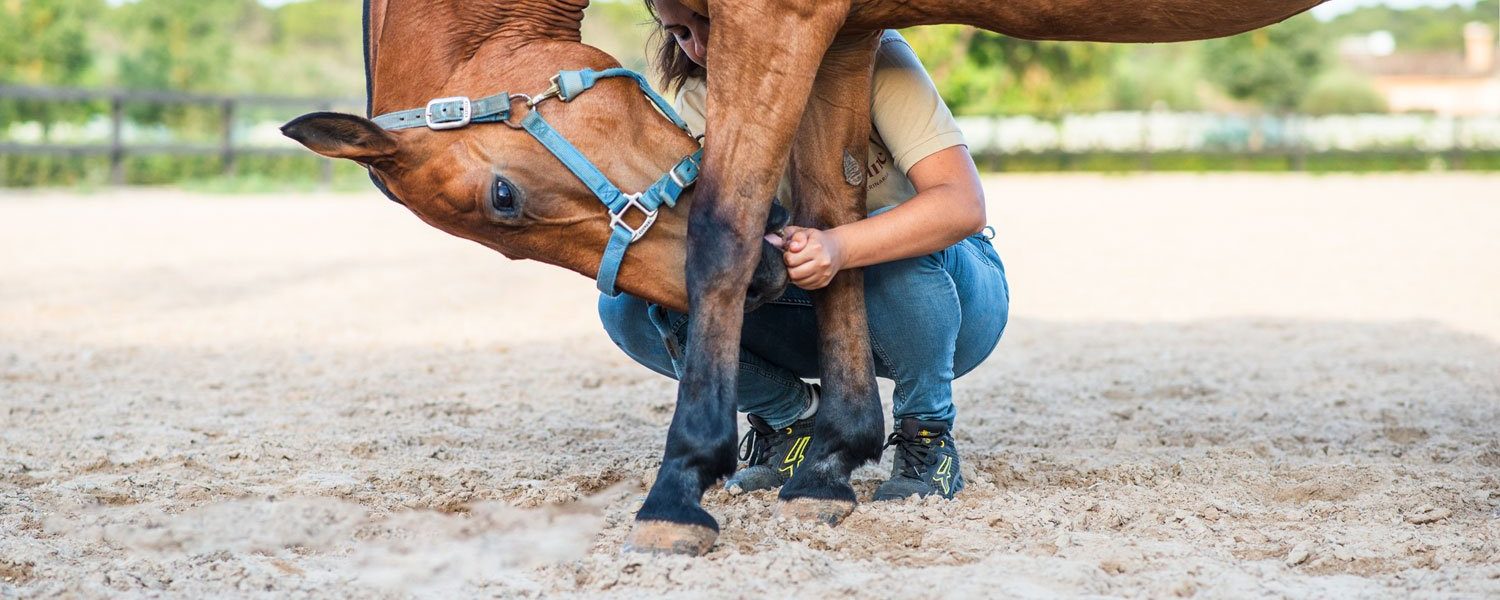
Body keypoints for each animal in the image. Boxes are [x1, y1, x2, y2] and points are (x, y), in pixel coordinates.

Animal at [282, 0, 1324, 556]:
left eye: (502, 196)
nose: (770, 291)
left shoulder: (777, 15)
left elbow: (726, 227)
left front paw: (677, 489)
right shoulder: (847, 27)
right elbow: (835, 219)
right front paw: (828, 465)